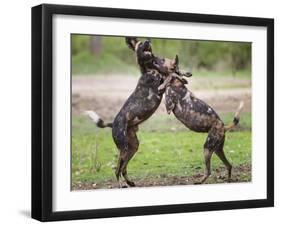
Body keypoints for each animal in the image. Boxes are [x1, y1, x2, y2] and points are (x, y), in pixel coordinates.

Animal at [85, 38, 186, 188]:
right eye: (140, 44)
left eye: (144, 41)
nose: (148, 40)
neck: (150, 69)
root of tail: (113, 123)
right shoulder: (161, 84)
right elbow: (171, 74)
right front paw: (181, 75)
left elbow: (174, 72)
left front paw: (183, 73)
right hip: (124, 149)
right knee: (117, 169)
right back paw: (122, 184)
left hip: (133, 147)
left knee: (123, 168)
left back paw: (130, 182)